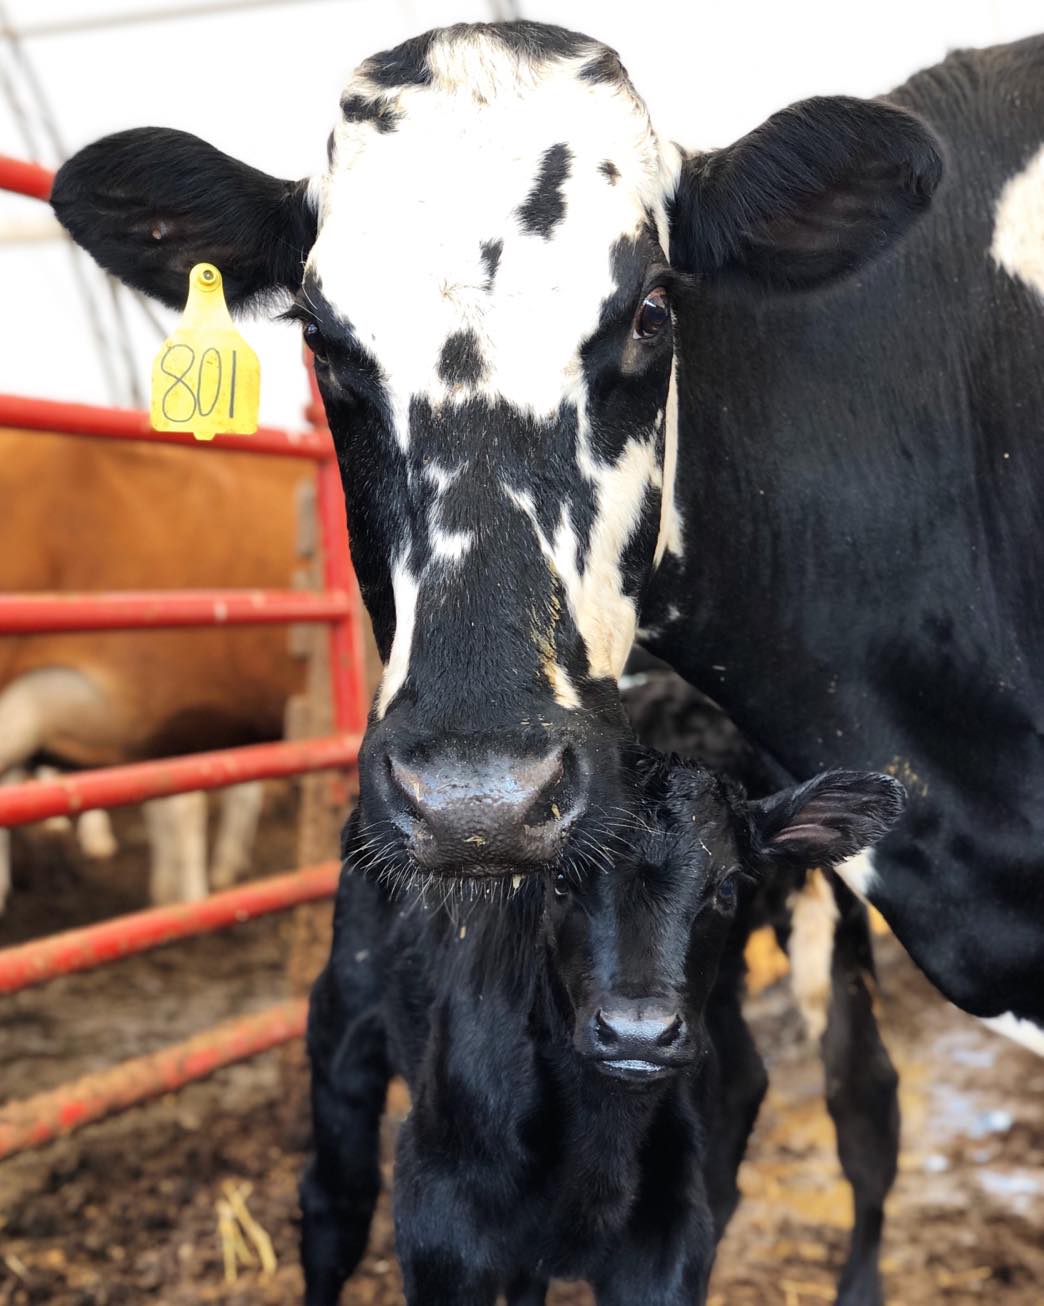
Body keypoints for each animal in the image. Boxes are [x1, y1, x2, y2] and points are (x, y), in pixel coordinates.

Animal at [301, 749, 905, 1305]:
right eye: (560, 879)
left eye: (728, 887)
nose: (638, 1033)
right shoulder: (440, 1231)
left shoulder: (667, 1239)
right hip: (342, 1034)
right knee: (333, 1208)